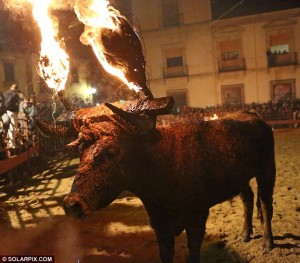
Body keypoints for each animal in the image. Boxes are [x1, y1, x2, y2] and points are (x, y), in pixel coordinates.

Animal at [36, 101, 276, 263]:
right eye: (80, 152)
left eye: (112, 151)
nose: (72, 204)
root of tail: (252, 115)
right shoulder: (160, 226)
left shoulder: (197, 219)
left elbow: (192, 254)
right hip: (241, 177)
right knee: (247, 199)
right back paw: (245, 234)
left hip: (267, 170)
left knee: (265, 203)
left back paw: (267, 242)